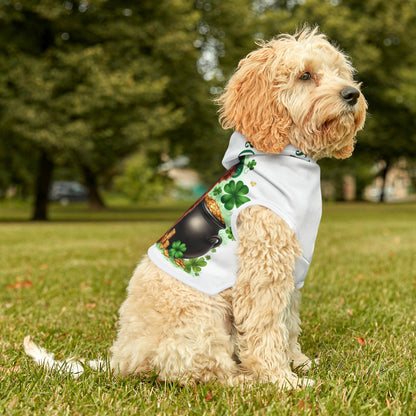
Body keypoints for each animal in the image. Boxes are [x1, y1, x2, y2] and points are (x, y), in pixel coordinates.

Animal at [24, 27, 366, 388]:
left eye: (340, 72)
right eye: (305, 75)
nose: (352, 94)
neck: (291, 158)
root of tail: (121, 359)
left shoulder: (291, 269)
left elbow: (288, 323)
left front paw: (299, 362)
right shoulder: (263, 269)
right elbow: (266, 327)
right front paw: (281, 380)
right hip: (202, 318)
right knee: (201, 371)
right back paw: (244, 380)